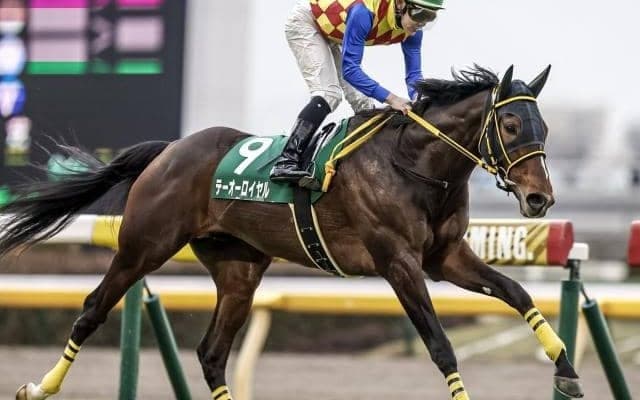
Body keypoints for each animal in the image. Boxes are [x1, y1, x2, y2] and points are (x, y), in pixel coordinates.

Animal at [5, 65, 584, 400]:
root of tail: (169, 150)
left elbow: (517, 291)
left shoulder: (444, 257)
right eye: (510, 126)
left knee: (211, 354)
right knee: (90, 311)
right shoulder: (398, 261)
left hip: (238, 270)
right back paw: (39, 387)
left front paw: (566, 369)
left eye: (545, 128)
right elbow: (440, 344)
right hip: (143, 247)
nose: (540, 198)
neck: (414, 164)